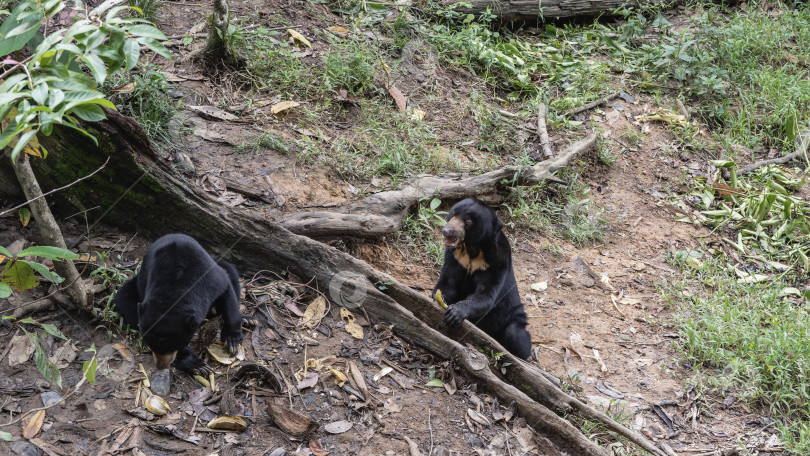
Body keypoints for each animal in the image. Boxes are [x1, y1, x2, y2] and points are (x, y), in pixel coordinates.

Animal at [113, 233, 251, 376]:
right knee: (123, 299)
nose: (160, 366)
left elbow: (227, 291)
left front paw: (233, 342)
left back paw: (247, 319)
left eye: (170, 347)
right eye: (153, 346)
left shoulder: (210, 278)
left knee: (230, 270)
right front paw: (199, 365)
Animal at [432, 199, 532, 360]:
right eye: (453, 214)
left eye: (468, 222)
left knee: (516, 335)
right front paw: (440, 299)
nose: (447, 231)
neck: (472, 248)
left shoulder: (496, 263)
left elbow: (485, 295)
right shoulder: (455, 258)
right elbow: (448, 282)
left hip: (512, 317)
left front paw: (455, 313)